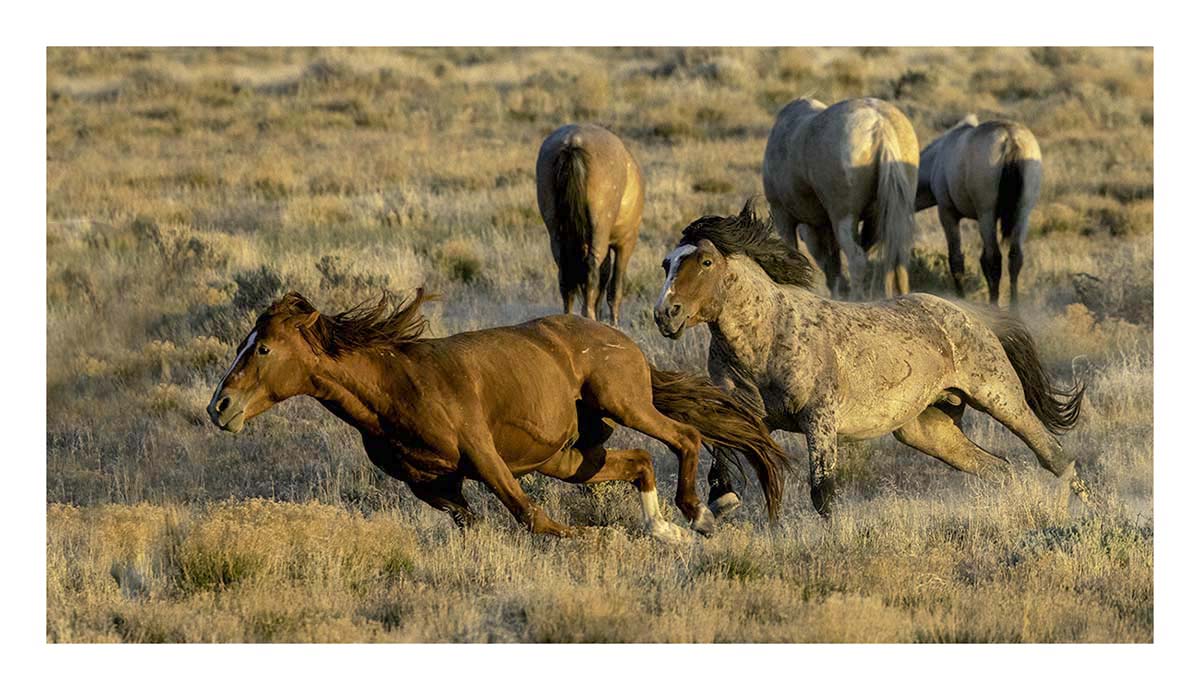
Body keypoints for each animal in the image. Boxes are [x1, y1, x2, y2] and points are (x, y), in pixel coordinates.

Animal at [206, 290, 789, 543]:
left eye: (263, 349)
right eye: (243, 344)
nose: (220, 408)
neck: (393, 387)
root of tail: (626, 344)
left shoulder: (483, 456)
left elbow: (532, 516)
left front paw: (587, 538)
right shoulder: (433, 486)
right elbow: (476, 522)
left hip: (623, 403)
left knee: (684, 436)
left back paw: (699, 514)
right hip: (568, 457)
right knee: (641, 460)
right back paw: (665, 531)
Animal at [536, 123, 644, 324]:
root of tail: (573, 141)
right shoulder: (625, 242)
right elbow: (614, 288)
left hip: (557, 233)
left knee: (565, 274)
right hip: (600, 230)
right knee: (593, 270)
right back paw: (589, 315)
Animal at [652, 202, 1090, 517]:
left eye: (705, 262)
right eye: (667, 263)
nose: (665, 314)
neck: (768, 337)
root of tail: (968, 314)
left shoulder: (819, 420)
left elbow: (822, 492)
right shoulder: (743, 412)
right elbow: (718, 454)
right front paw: (721, 501)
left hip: (1001, 399)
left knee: (1055, 456)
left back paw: (1086, 511)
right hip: (927, 429)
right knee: (998, 468)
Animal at [762, 97, 919, 299]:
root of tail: (880, 125)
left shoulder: (781, 214)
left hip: (843, 216)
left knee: (857, 259)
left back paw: (856, 299)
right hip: (882, 216)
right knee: (893, 258)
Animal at [916, 115, 1043, 305]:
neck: (937, 159)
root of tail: (1010, 138)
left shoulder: (947, 213)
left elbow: (956, 260)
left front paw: (960, 298)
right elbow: (982, 261)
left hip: (987, 214)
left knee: (995, 258)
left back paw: (995, 305)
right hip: (1021, 213)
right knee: (1014, 257)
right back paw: (1014, 307)